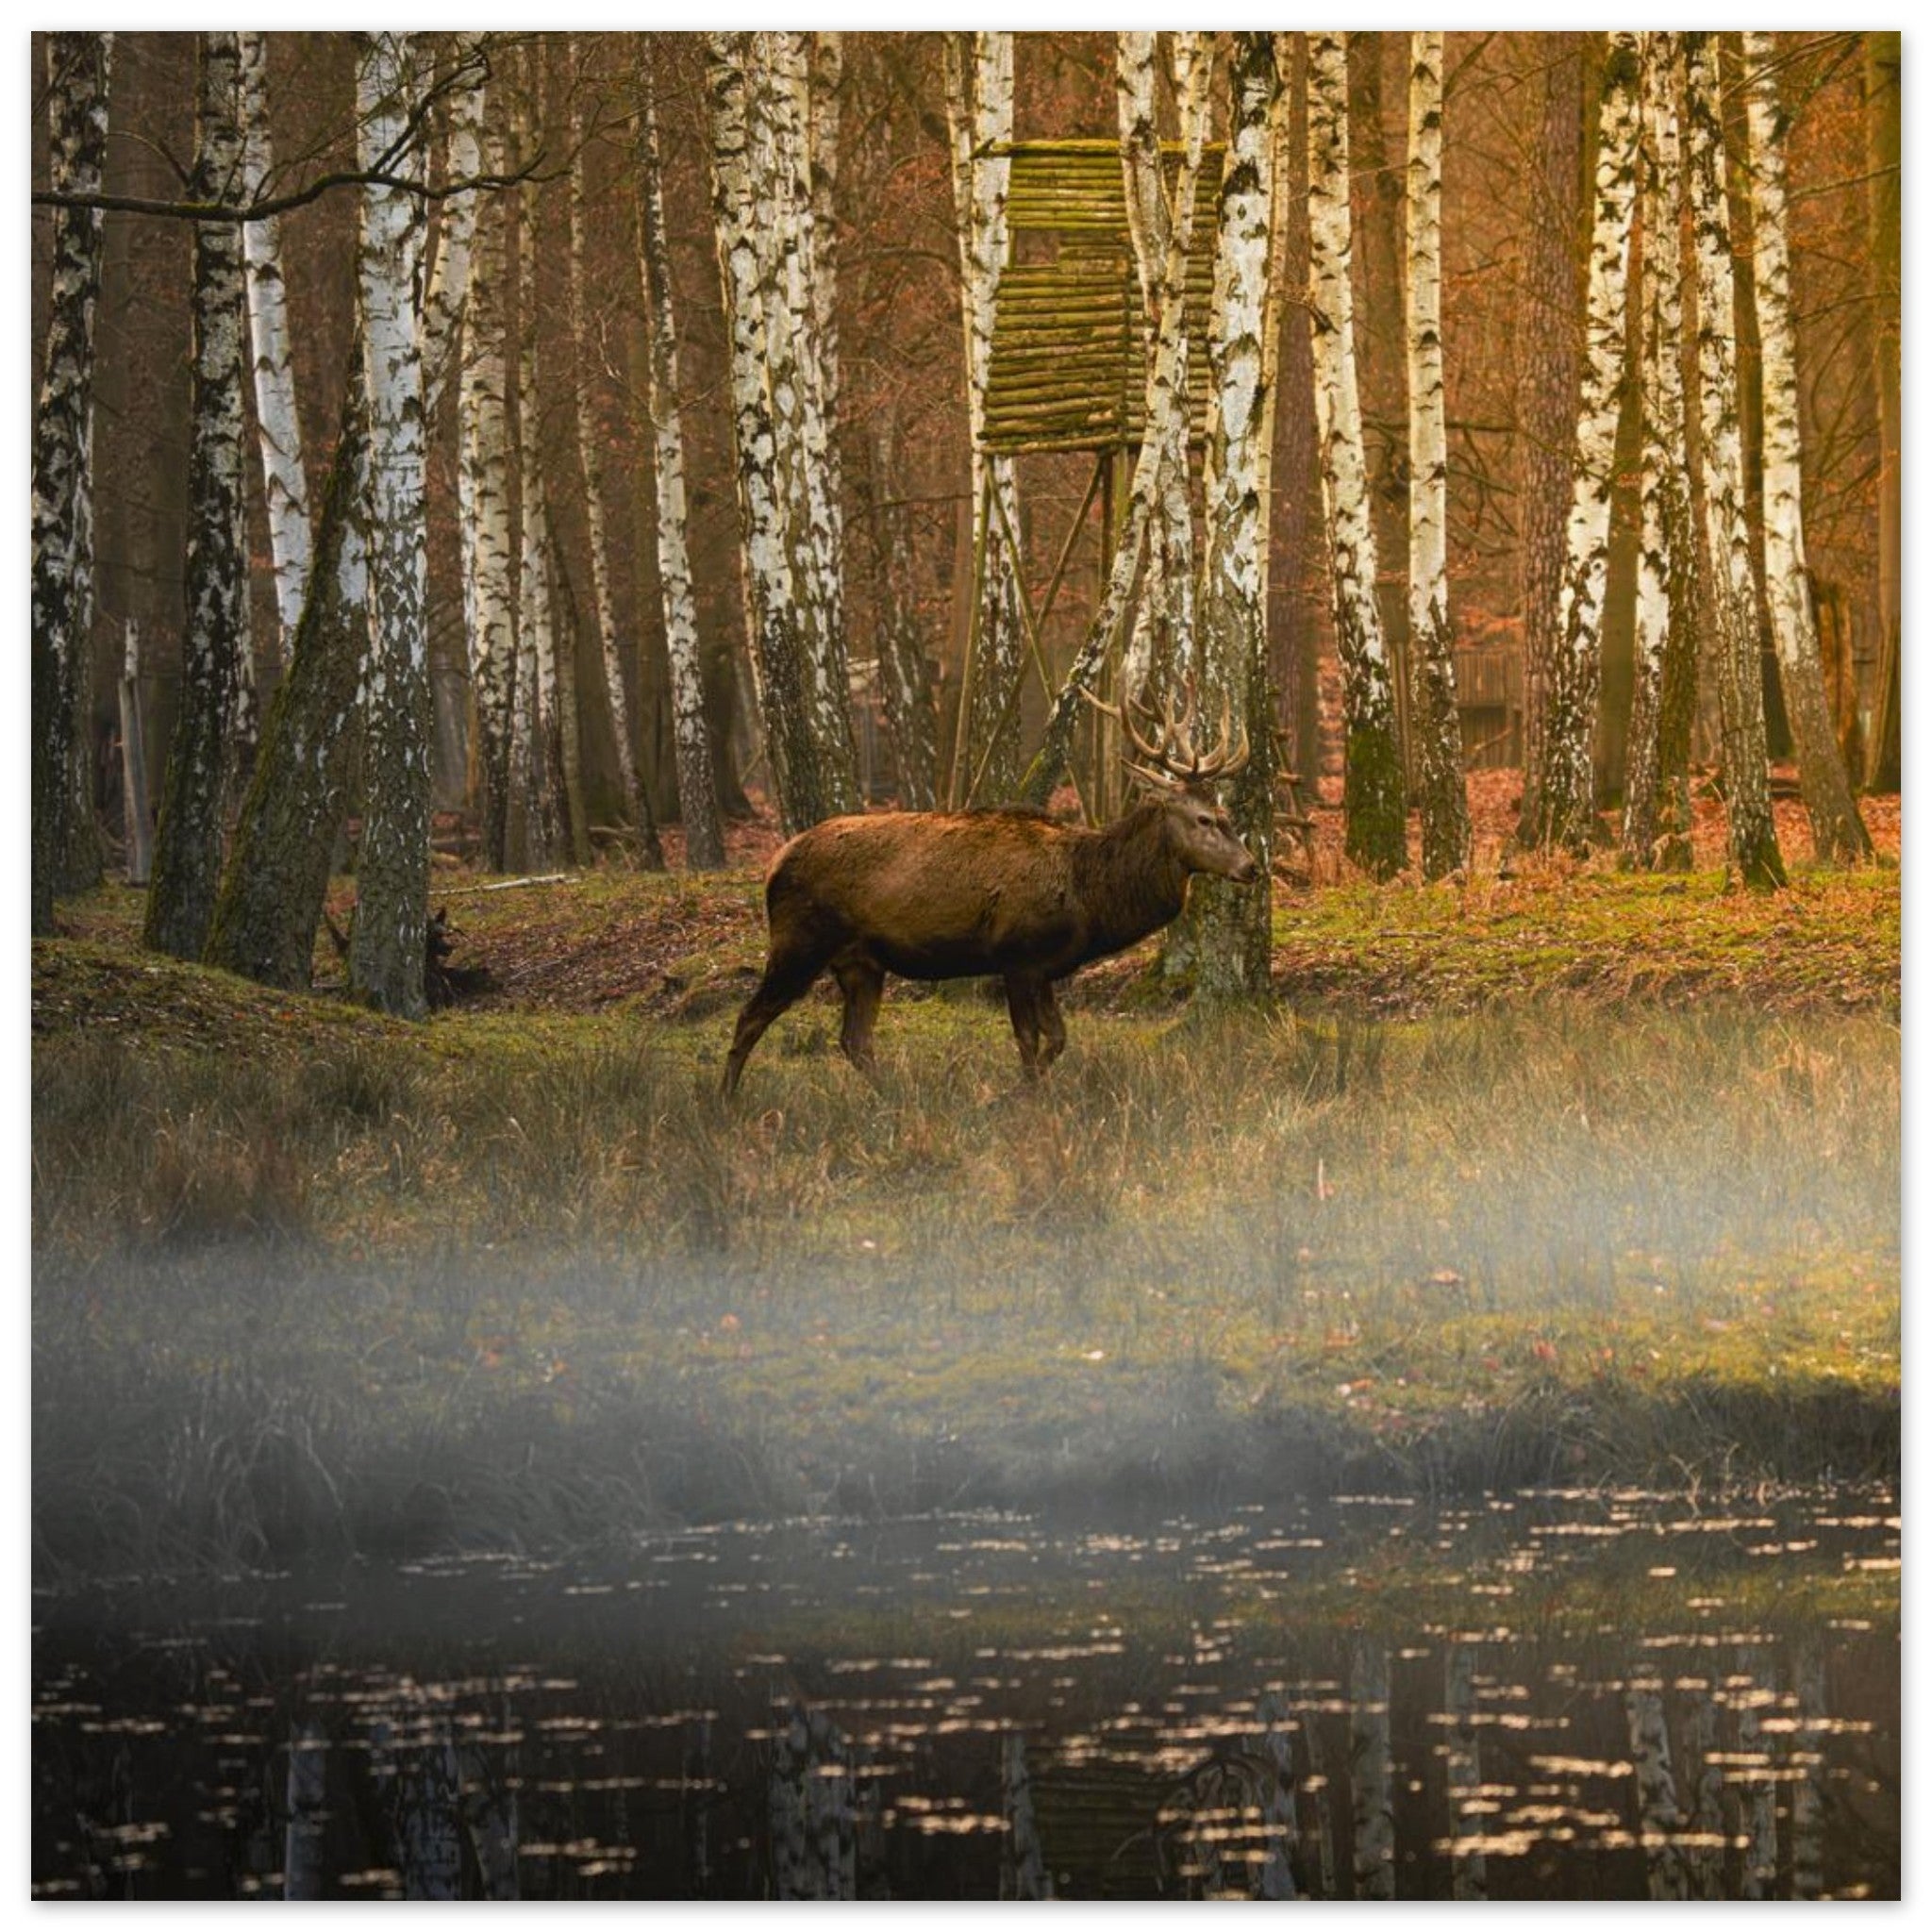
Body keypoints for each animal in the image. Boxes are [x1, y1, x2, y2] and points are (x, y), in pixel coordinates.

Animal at [721, 686, 1258, 1096]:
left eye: (1226, 814)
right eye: (1204, 819)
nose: (1252, 867)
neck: (1087, 897)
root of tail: (773, 864)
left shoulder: (1044, 968)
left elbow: (1058, 1039)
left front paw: (1024, 1092)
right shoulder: (1017, 957)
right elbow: (1030, 1042)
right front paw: (1019, 1097)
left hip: (861, 963)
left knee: (854, 1041)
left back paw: (895, 1098)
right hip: (800, 941)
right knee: (750, 1016)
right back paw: (726, 1102)